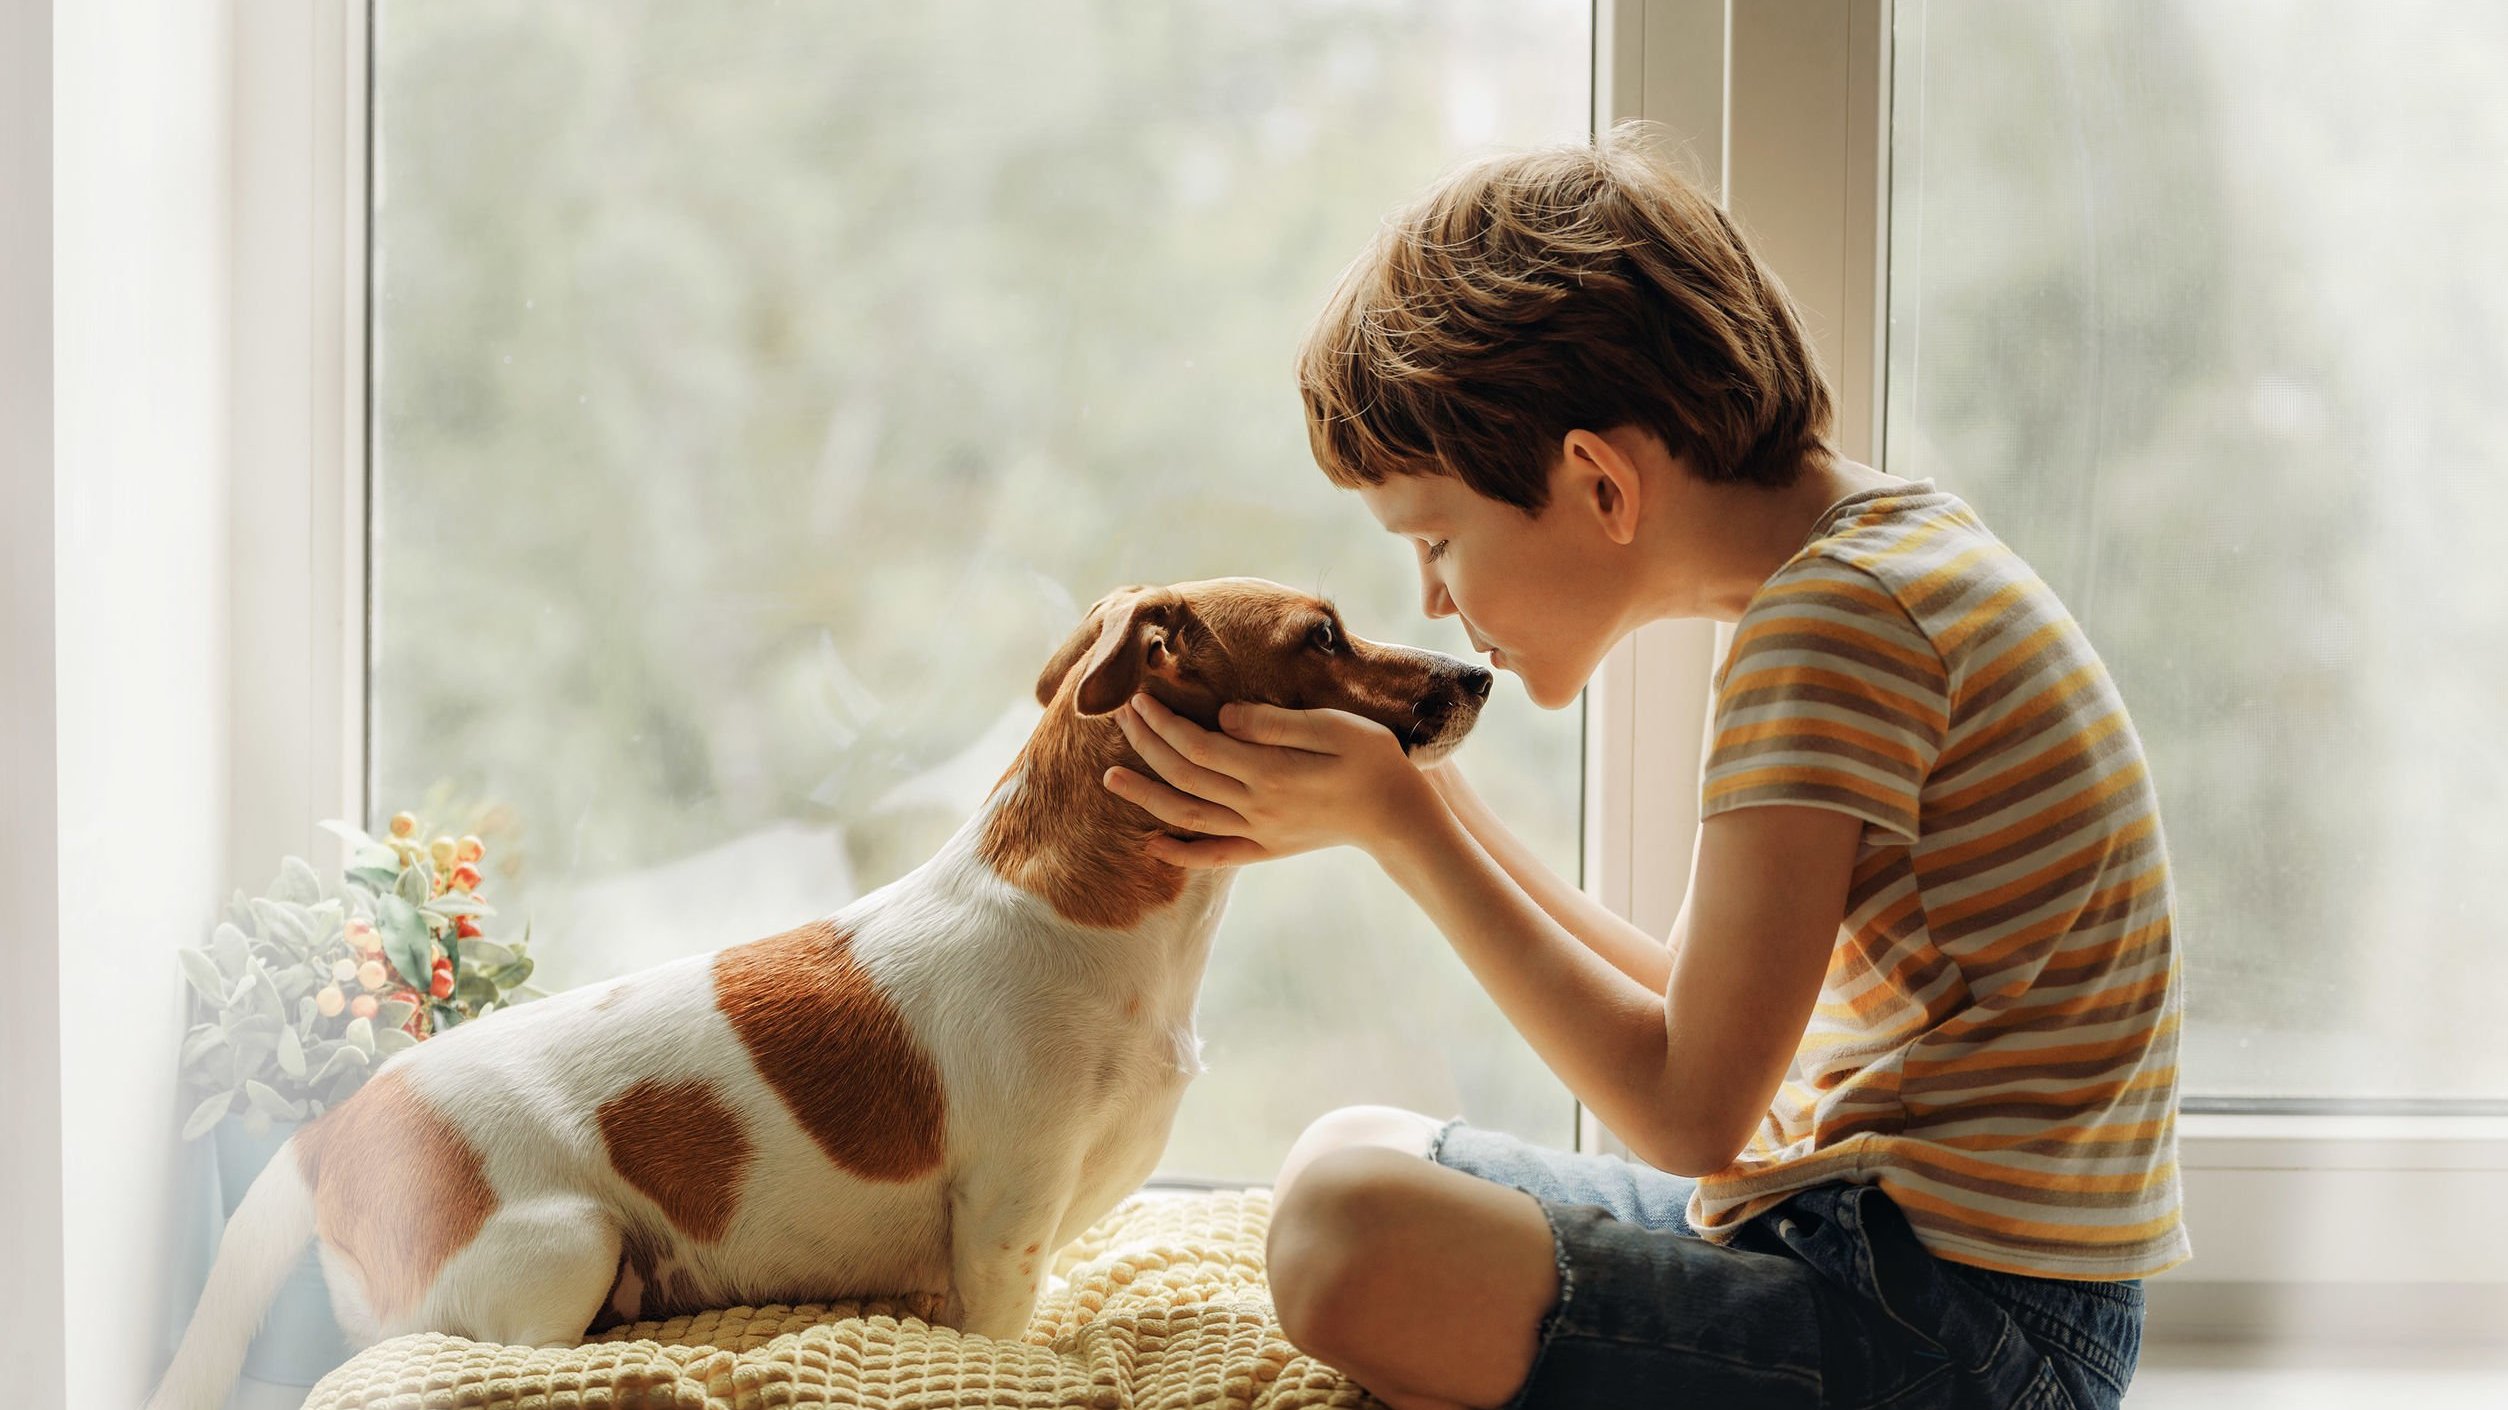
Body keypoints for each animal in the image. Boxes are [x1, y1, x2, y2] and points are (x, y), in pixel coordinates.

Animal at [146, 574, 1484, 1404]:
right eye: (1323, 636)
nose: (1476, 672)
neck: (1103, 920)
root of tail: (332, 1132)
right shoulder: (1005, 1225)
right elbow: (1009, 1327)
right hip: (565, 1244)